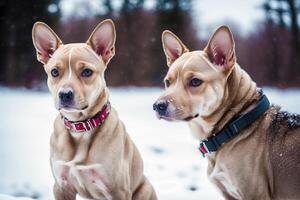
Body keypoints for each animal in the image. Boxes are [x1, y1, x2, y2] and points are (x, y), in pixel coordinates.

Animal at [32, 19, 157, 200]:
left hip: (144, 189)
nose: (65, 94)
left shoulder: (118, 190)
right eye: (54, 72)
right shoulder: (61, 186)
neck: (80, 128)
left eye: (86, 72)